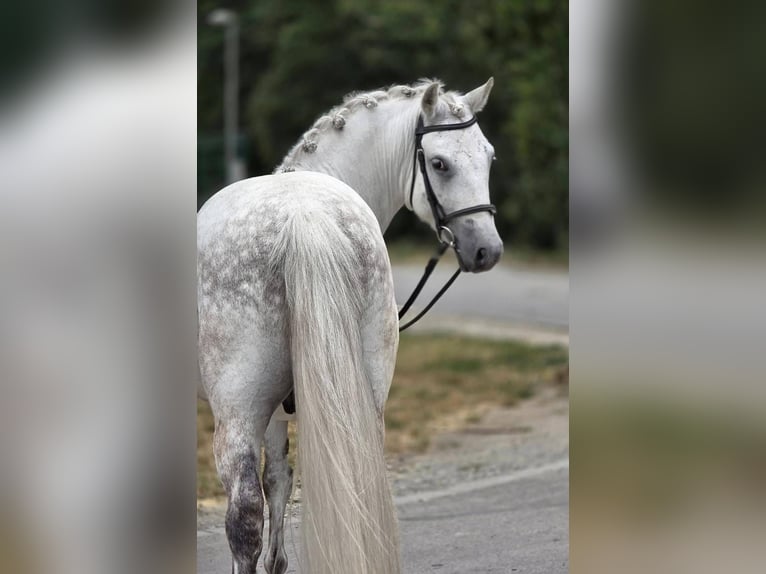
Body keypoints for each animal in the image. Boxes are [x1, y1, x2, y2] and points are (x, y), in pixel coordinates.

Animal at [197, 78, 502, 574]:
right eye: (440, 163)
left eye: (488, 157)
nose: (487, 250)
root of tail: (303, 215)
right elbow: (279, 481)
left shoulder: (267, 414)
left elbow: (274, 487)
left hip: (238, 415)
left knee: (243, 520)